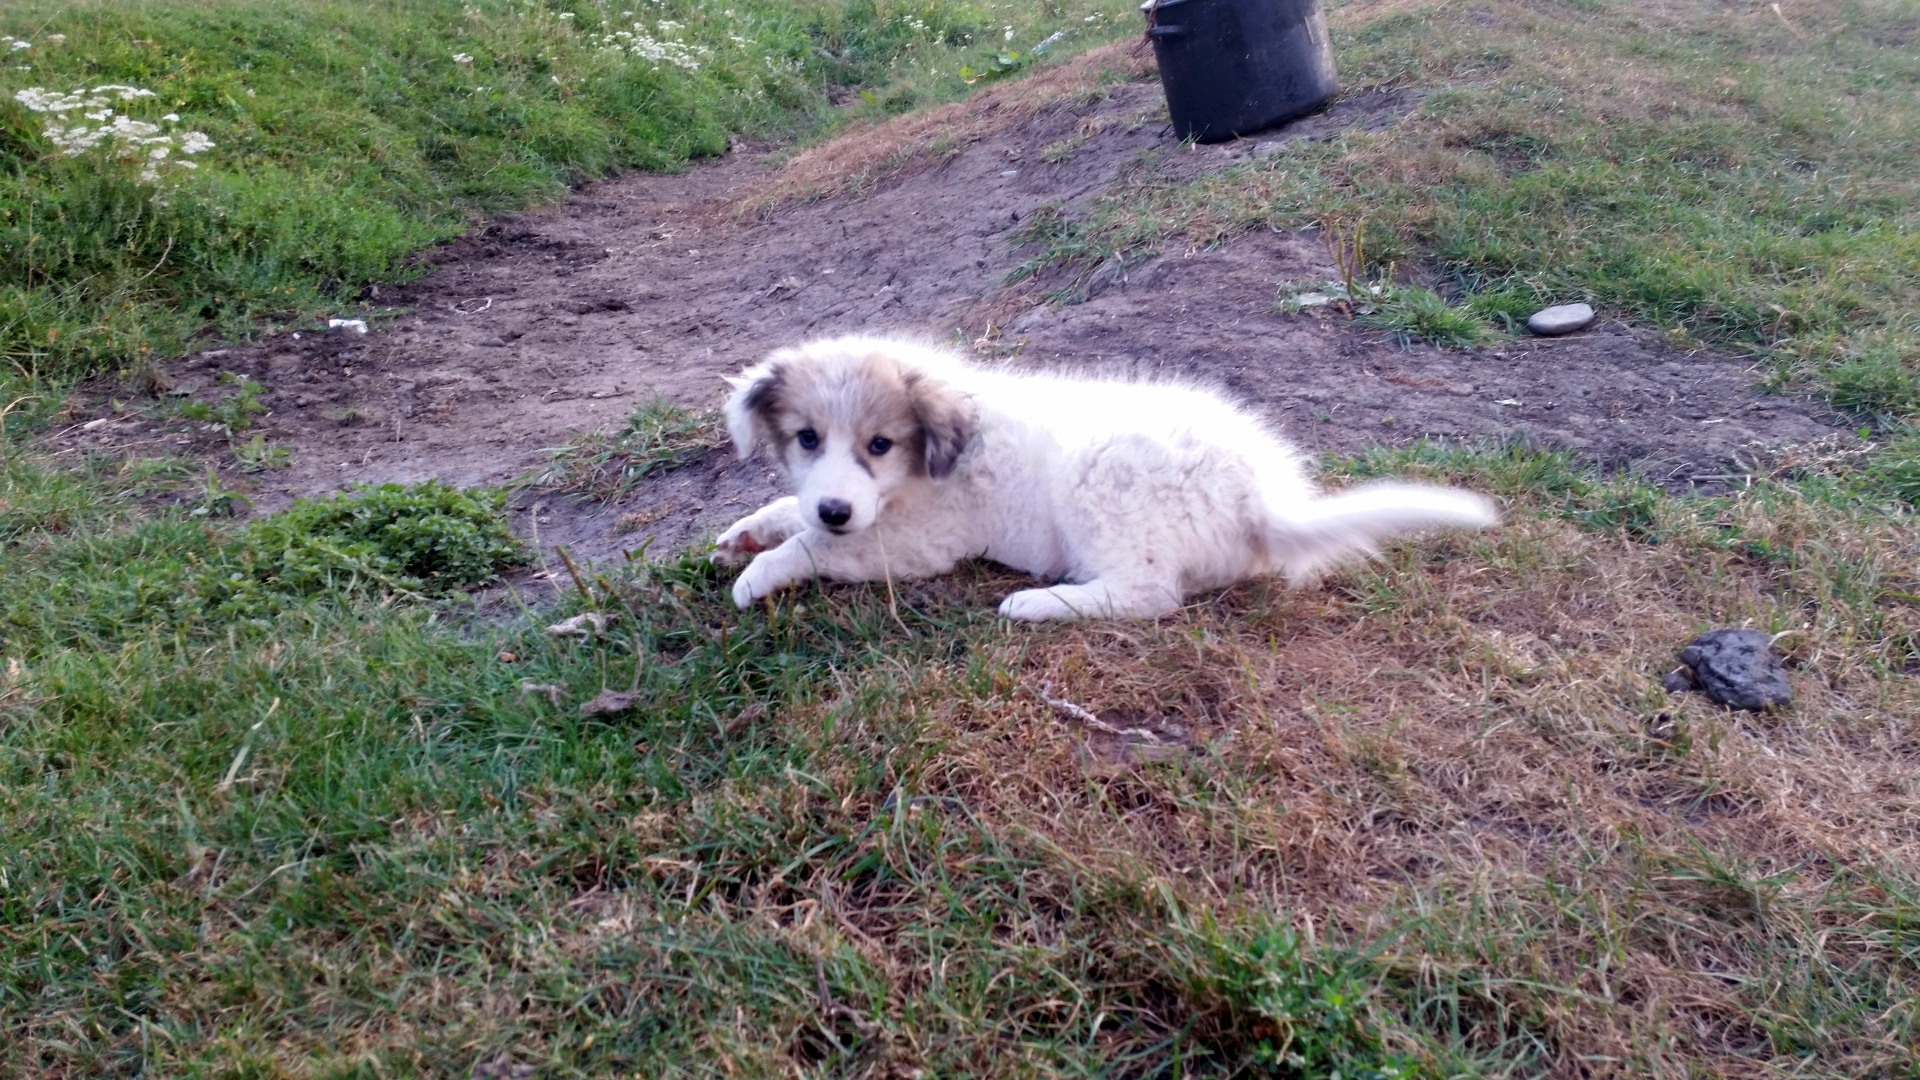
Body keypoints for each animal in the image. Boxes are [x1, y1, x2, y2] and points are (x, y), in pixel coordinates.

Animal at [711, 336, 1499, 620]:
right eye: (807, 439)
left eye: (879, 444)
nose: (837, 508)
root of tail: (1258, 499)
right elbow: (790, 509)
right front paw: (743, 534)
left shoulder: (918, 543)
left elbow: (815, 548)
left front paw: (757, 575)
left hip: (1103, 483)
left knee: (1148, 595)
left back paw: (1037, 603)